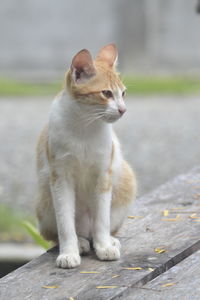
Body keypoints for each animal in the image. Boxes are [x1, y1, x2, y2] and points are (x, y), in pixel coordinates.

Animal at [36, 44, 137, 270]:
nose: (123, 110)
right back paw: (80, 242)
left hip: (125, 181)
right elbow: (65, 222)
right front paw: (69, 252)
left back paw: (108, 240)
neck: (85, 125)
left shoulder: (103, 175)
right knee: (65, 232)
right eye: (106, 93)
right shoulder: (60, 178)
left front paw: (104, 246)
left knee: (100, 227)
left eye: (123, 93)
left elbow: (102, 219)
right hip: (44, 202)